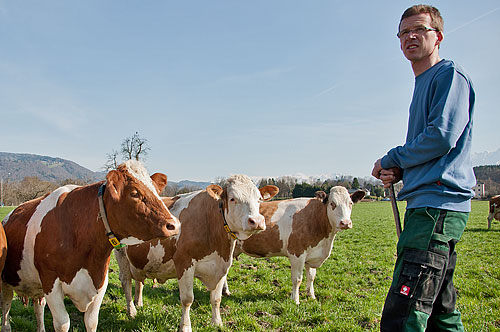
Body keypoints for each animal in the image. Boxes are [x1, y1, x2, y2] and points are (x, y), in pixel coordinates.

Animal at [0, 161, 180, 332]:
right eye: (134, 193)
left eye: (156, 191)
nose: (175, 225)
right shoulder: (50, 283)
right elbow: (62, 323)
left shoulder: (100, 282)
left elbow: (92, 322)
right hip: (6, 282)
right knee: (6, 306)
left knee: (38, 307)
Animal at [114, 174, 282, 332]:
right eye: (233, 198)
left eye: (259, 199)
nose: (257, 221)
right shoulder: (184, 262)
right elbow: (187, 299)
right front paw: (185, 326)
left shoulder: (222, 265)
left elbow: (216, 298)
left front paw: (217, 323)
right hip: (121, 255)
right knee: (126, 282)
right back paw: (131, 311)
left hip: (139, 259)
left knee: (138, 281)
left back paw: (139, 303)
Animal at [223, 185, 364, 304]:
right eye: (332, 203)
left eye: (350, 203)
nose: (345, 223)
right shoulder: (297, 253)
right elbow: (297, 278)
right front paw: (295, 300)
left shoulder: (312, 255)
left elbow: (311, 277)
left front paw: (311, 296)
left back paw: (225, 292)